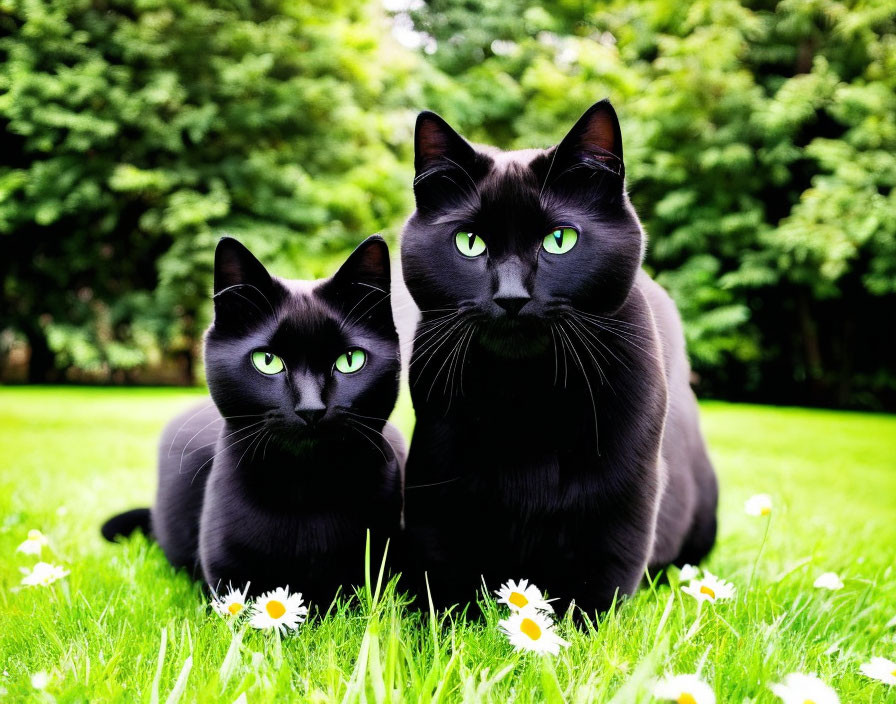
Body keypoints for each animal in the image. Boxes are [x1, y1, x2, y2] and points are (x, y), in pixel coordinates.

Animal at [402, 99, 716, 616]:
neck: (527, 395)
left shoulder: (625, 495)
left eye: (559, 240)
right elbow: (443, 576)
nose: (511, 296)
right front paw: (444, 628)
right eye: (469, 242)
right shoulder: (437, 479)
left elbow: (599, 584)